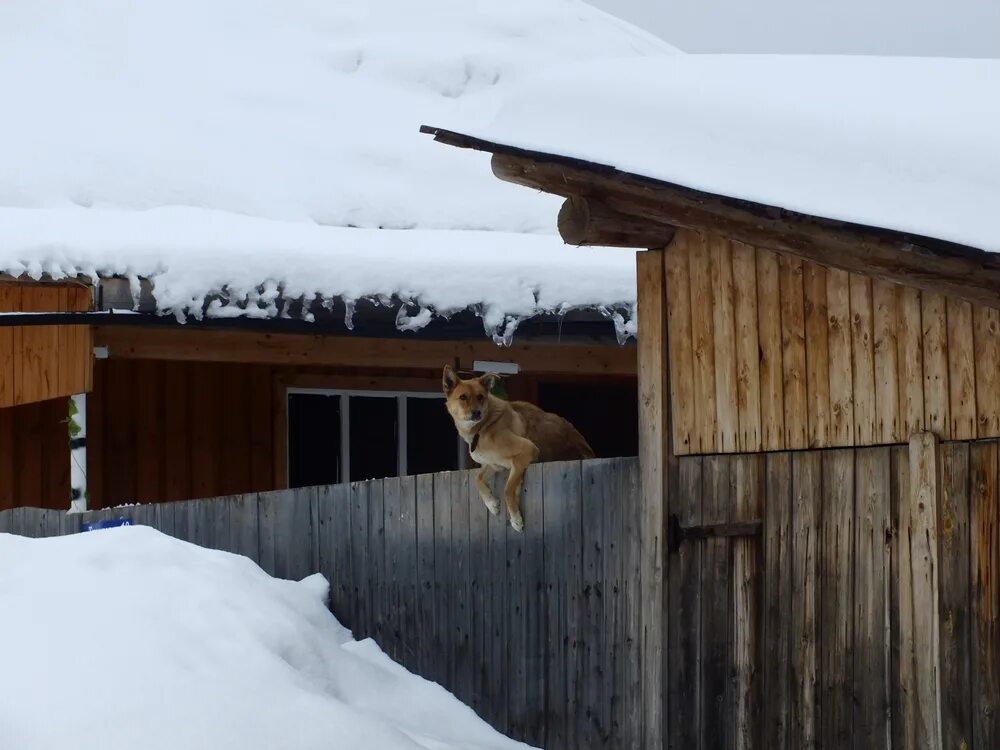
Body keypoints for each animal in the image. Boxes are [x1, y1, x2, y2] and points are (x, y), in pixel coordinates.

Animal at [440, 366, 592, 536]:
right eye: (463, 397)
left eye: (480, 397)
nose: (476, 413)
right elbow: (477, 479)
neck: (483, 426)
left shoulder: (528, 449)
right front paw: (491, 504)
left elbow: (507, 490)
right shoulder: (494, 464)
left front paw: (516, 519)